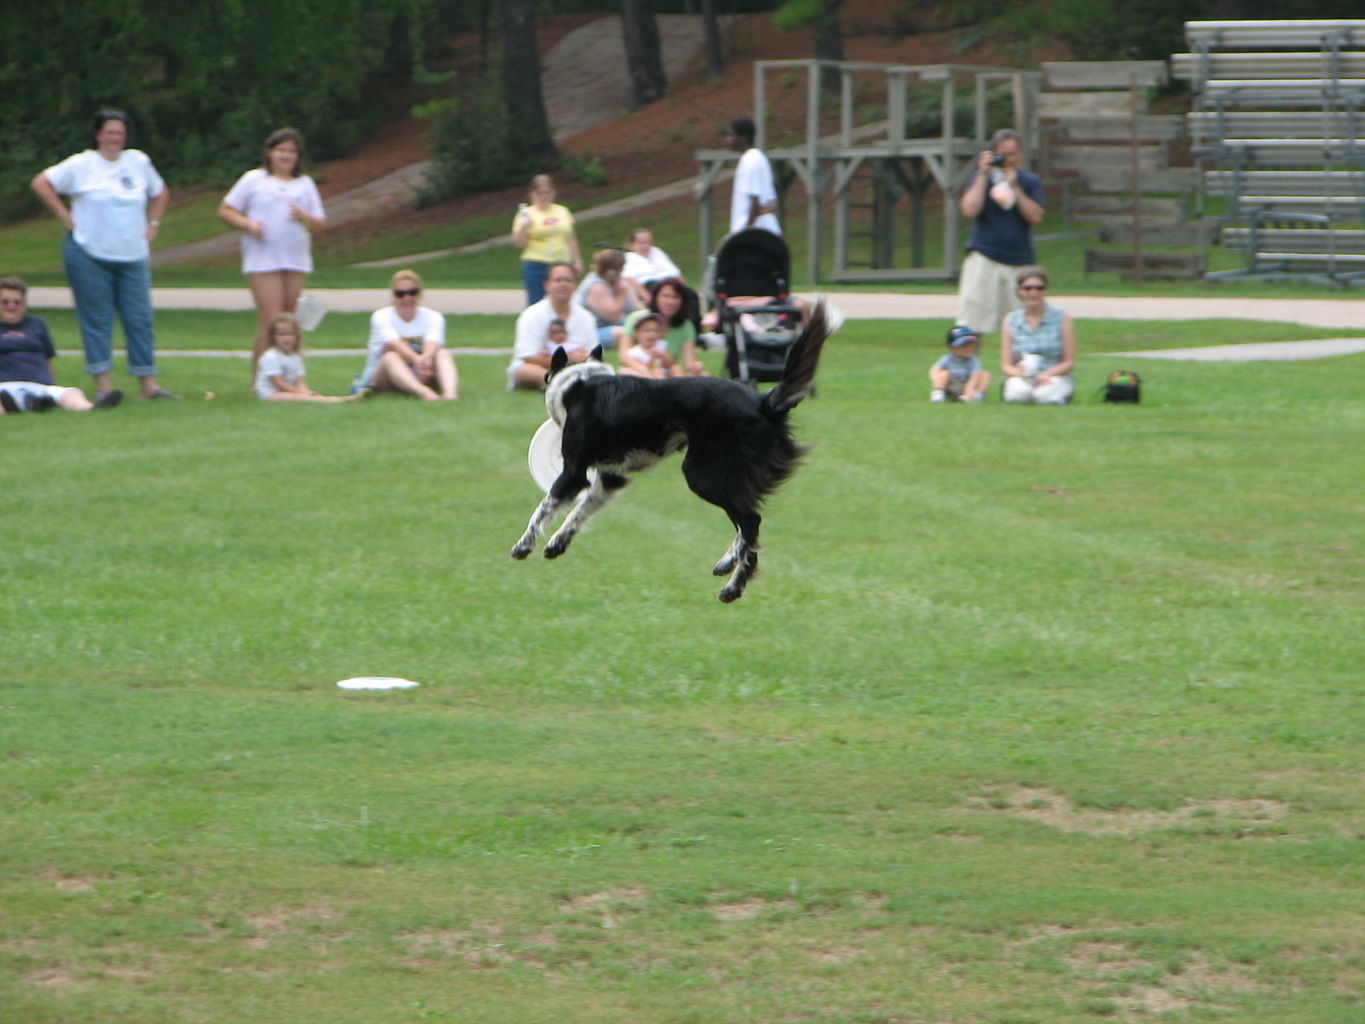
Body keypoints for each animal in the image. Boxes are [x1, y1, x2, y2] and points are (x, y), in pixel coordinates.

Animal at [510, 300, 829, 606]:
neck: (579, 383)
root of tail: (764, 402)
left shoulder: (573, 472)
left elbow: (543, 508)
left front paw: (524, 545)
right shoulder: (611, 478)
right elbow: (580, 511)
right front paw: (558, 542)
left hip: (702, 474)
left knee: (751, 522)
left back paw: (732, 585)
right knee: (748, 528)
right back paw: (729, 565)